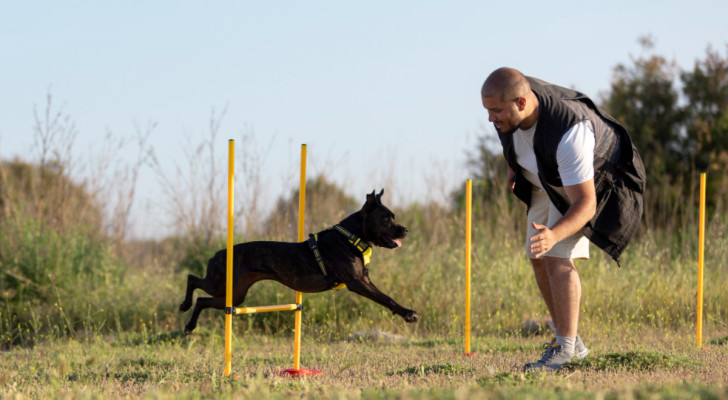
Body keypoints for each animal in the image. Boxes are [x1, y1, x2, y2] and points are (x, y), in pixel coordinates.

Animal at [180, 189, 420, 332]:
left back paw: (190, 325)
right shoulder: (357, 282)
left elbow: (386, 297)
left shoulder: (364, 280)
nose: (406, 230)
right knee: (193, 279)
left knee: (202, 300)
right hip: (221, 283)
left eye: (393, 217)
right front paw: (409, 314)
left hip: (235, 296)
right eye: (387, 218)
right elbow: (386, 298)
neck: (351, 236)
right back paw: (184, 306)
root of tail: (217, 253)